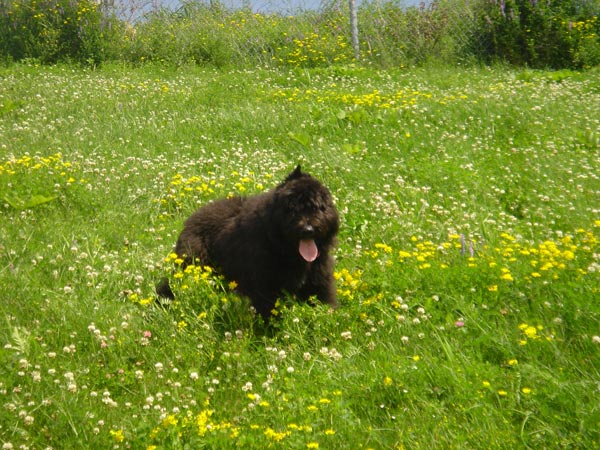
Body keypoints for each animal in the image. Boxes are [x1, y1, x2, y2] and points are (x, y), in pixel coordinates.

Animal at [157, 166, 340, 320]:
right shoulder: (264, 286)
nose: (308, 229)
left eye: (317, 207)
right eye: (292, 208)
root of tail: (190, 220)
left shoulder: (319, 279)